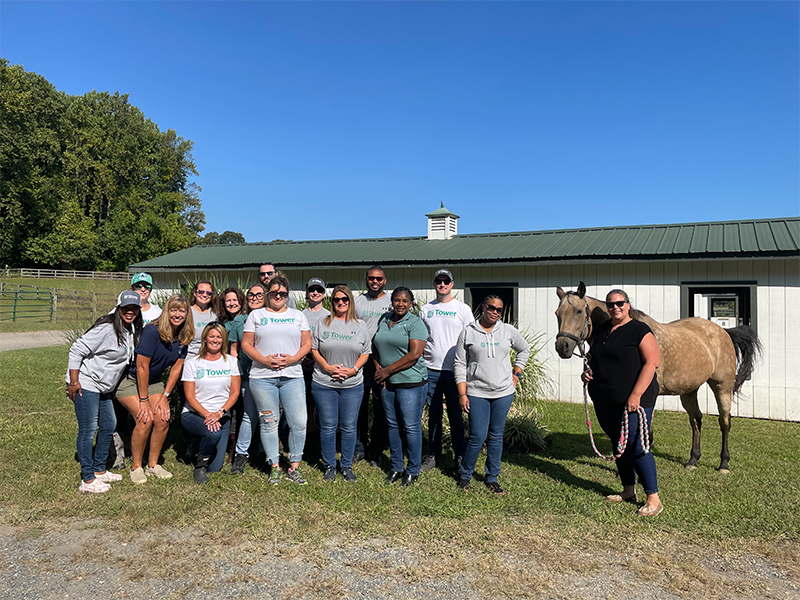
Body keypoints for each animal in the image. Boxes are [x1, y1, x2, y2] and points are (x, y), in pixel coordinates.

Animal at [552, 282, 760, 474]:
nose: (562, 346)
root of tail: (724, 332)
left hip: (722, 386)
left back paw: (724, 464)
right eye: (557, 313)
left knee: (724, 422)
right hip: (689, 391)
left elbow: (646, 435)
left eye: (579, 311)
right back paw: (693, 460)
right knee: (696, 420)